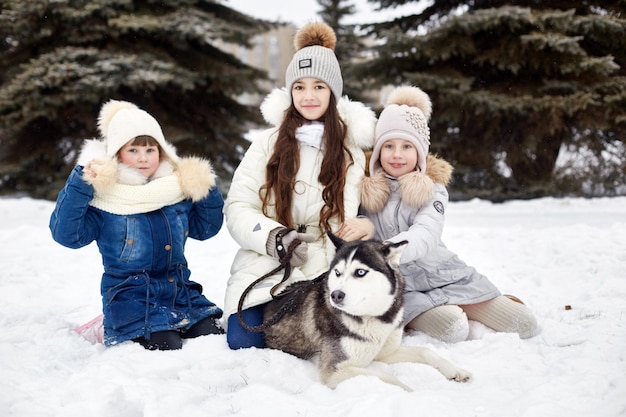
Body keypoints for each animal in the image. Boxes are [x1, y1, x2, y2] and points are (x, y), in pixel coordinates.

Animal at [260, 234, 470, 390]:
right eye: (337, 272)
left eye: (360, 272)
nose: (336, 295)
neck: (374, 318)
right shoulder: (335, 371)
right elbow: (387, 378)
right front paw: (409, 391)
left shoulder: (386, 352)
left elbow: (426, 351)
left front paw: (455, 371)